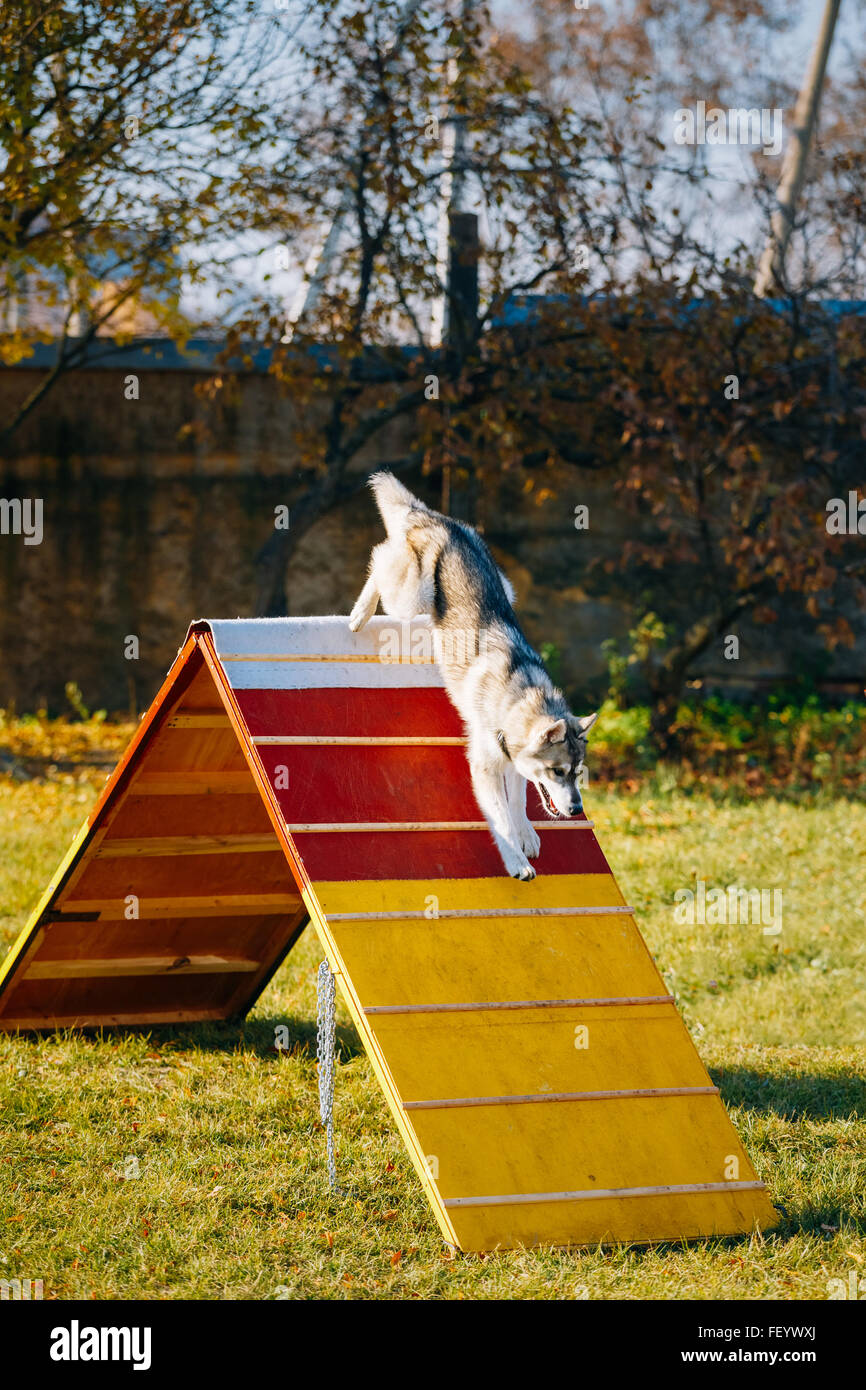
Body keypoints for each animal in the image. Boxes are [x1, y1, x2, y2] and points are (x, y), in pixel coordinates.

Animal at [347, 472, 594, 872]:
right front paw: (515, 861)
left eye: (577, 772)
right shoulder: (484, 767)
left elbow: (518, 802)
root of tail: (437, 518)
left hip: (506, 589)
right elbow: (500, 817)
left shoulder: (512, 763)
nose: (575, 809)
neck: (518, 697)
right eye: (558, 771)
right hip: (411, 598)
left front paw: (526, 834)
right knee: (379, 558)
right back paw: (359, 612)